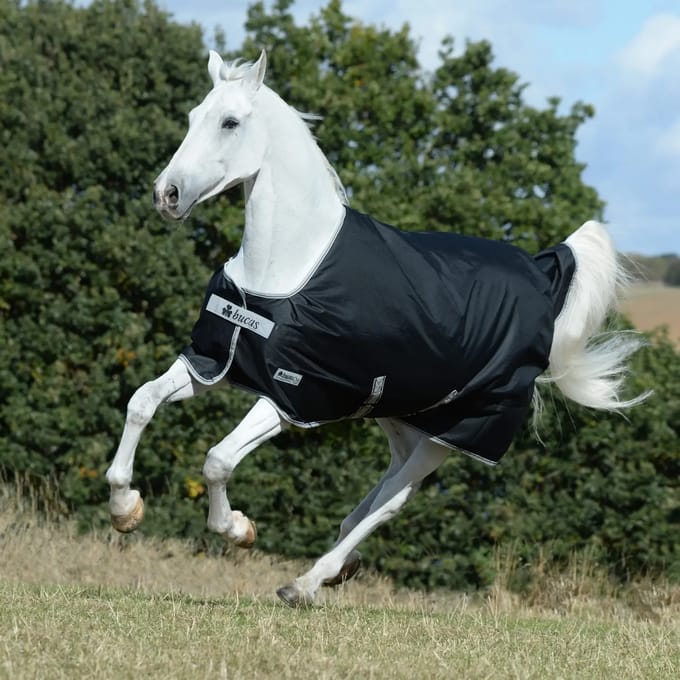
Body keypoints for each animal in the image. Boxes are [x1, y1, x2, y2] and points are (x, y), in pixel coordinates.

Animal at [106, 50, 648, 607]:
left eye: (230, 122)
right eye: (194, 116)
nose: (166, 194)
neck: (285, 267)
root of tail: (543, 279)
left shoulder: (289, 398)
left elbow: (217, 459)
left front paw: (237, 528)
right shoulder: (214, 361)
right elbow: (142, 402)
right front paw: (126, 509)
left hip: (452, 433)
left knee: (394, 499)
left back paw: (307, 582)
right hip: (398, 415)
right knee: (384, 488)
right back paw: (341, 566)